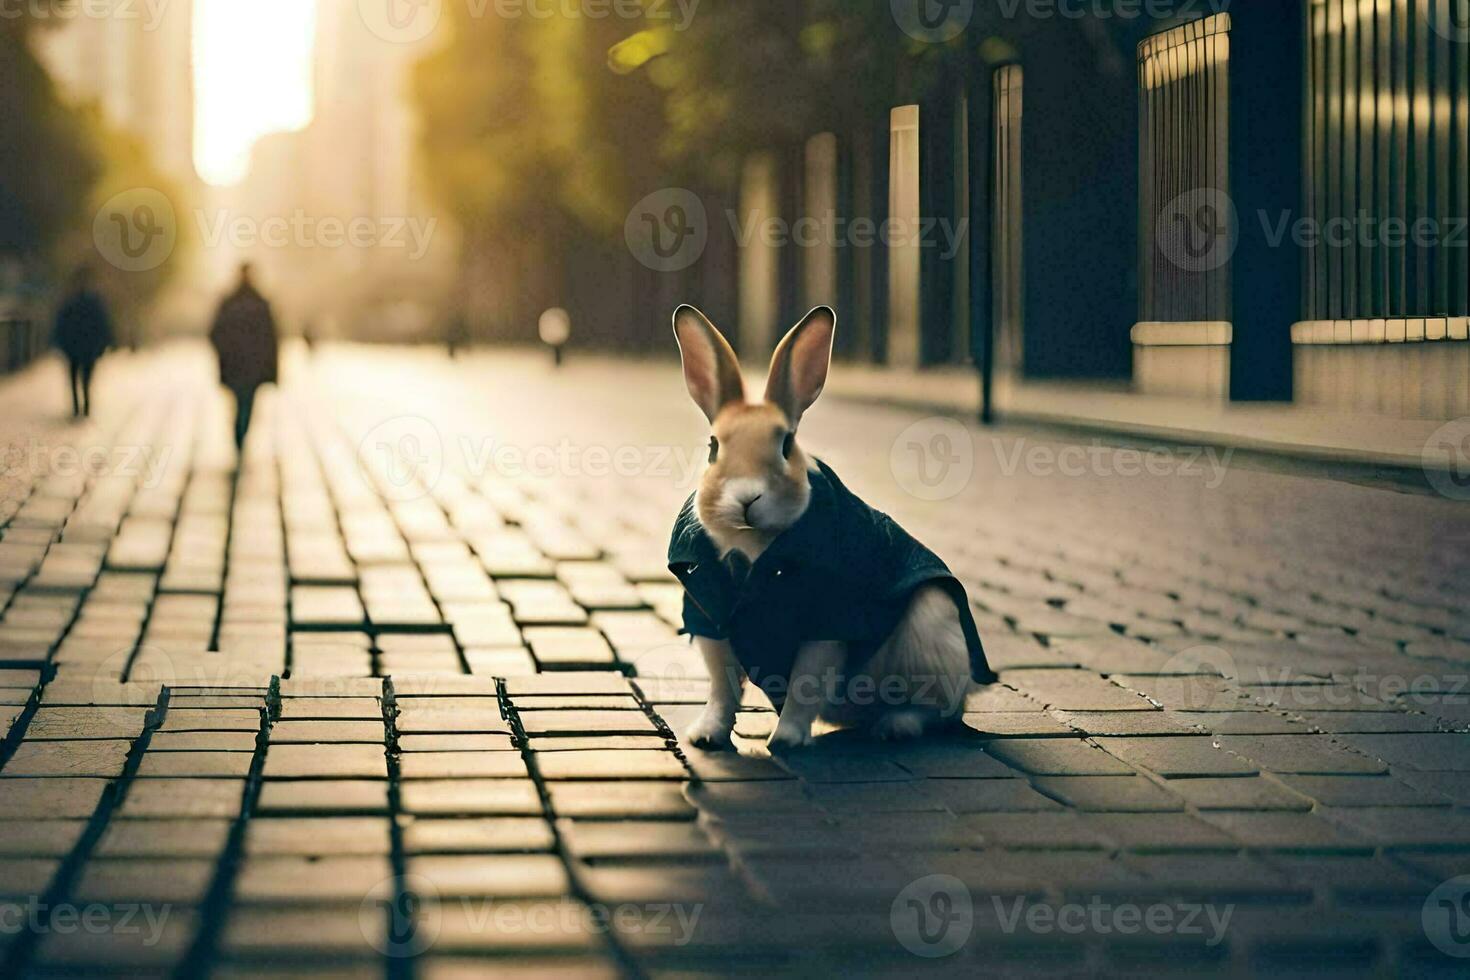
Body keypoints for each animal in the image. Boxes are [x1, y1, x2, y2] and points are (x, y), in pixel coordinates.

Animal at [670, 307, 999, 752]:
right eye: (713, 447)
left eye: (786, 444)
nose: (747, 498)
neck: (752, 549)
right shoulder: (709, 621)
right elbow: (722, 689)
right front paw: (706, 736)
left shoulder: (826, 624)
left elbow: (804, 684)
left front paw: (786, 739)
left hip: (932, 629)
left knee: (939, 710)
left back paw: (895, 726)